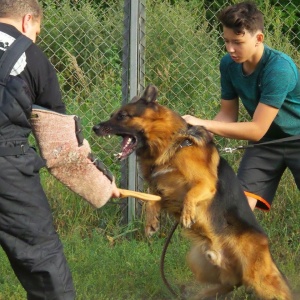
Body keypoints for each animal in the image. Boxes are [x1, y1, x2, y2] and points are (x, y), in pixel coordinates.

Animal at [92, 85, 292, 300]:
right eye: (113, 115)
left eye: (122, 116)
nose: (95, 128)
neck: (173, 145)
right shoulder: (161, 189)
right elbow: (151, 200)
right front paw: (151, 221)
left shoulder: (205, 184)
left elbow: (191, 194)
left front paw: (187, 214)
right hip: (199, 262)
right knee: (224, 285)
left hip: (261, 280)